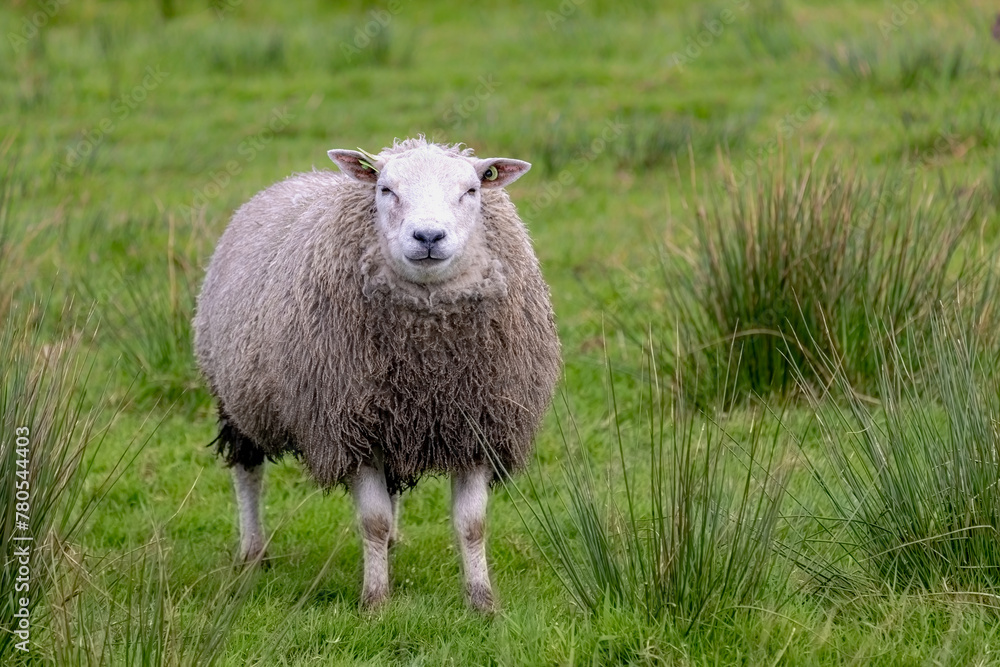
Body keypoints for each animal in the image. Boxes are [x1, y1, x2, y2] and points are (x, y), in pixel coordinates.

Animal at [193, 137, 561, 612]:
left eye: (472, 190)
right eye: (386, 190)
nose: (428, 237)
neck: (427, 362)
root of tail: (299, 177)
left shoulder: (477, 424)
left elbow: (472, 523)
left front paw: (482, 602)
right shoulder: (351, 430)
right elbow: (373, 521)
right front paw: (375, 601)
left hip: (396, 421)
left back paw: (393, 548)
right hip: (238, 395)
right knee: (248, 470)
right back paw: (254, 554)